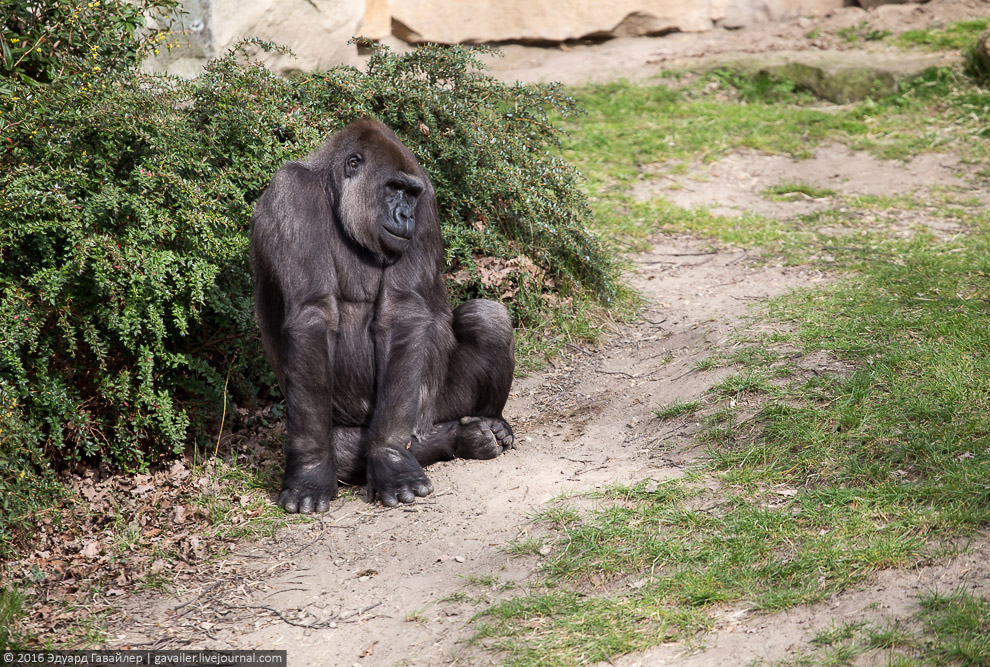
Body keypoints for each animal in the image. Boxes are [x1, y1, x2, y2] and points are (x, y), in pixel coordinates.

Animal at [252, 120, 520, 516]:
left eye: (411, 194)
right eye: (393, 189)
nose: (406, 215)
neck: (335, 196)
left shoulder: (427, 196)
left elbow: (400, 311)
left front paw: (390, 458)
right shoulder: (291, 193)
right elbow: (313, 316)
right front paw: (312, 468)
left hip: (435, 408)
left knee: (487, 318)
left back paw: (490, 424)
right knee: (347, 447)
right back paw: (464, 437)